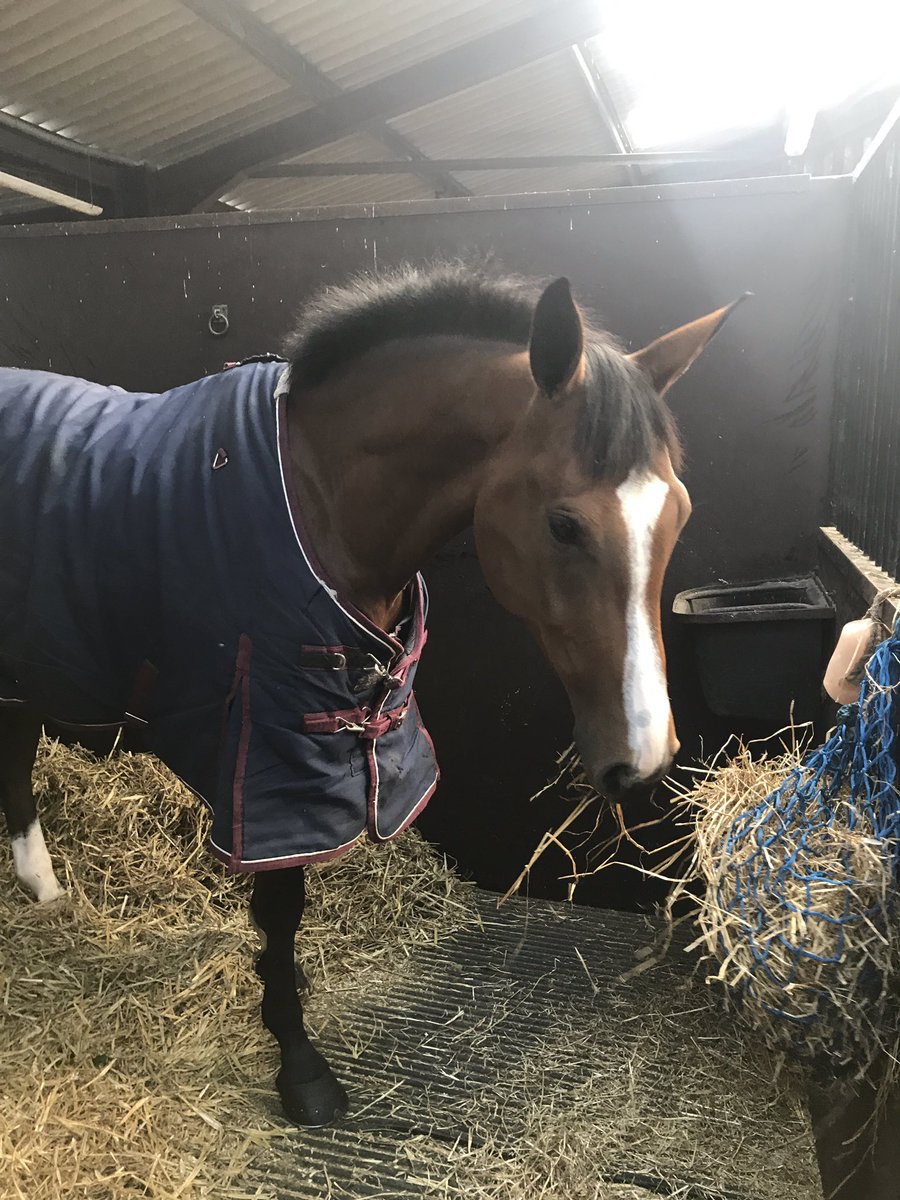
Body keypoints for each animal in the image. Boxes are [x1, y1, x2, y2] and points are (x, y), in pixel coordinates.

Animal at [0, 263, 742, 1127]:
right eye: (564, 525)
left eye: (677, 514)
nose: (646, 758)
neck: (317, 497)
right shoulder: (271, 755)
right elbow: (281, 908)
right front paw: (300, 1065)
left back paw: (45, 891)